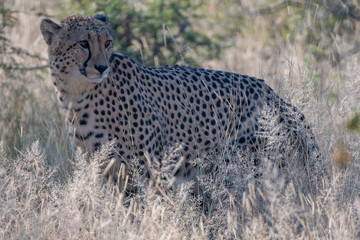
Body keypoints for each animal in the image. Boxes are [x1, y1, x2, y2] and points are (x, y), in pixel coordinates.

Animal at [40, 14, 320, 190]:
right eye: (83, 43)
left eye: (107, 43)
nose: (101, 67)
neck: (77, 94)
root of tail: (274, 94)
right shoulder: (102, 167)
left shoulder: (148, 168)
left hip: (248, 168)